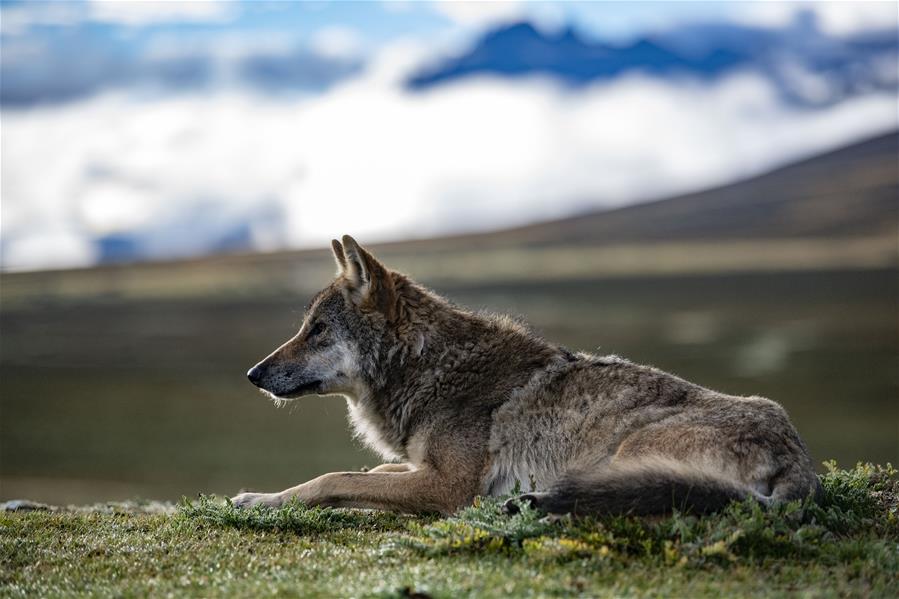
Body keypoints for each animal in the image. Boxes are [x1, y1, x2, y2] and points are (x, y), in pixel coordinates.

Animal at [234, 234, 824, 516]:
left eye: (317, 330)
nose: (253, 373)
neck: (430, 367)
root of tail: (799, 458)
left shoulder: (450, 487)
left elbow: (333, 479)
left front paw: (261, 501)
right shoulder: (423, 469)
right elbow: (369, 472)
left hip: (629, 455)